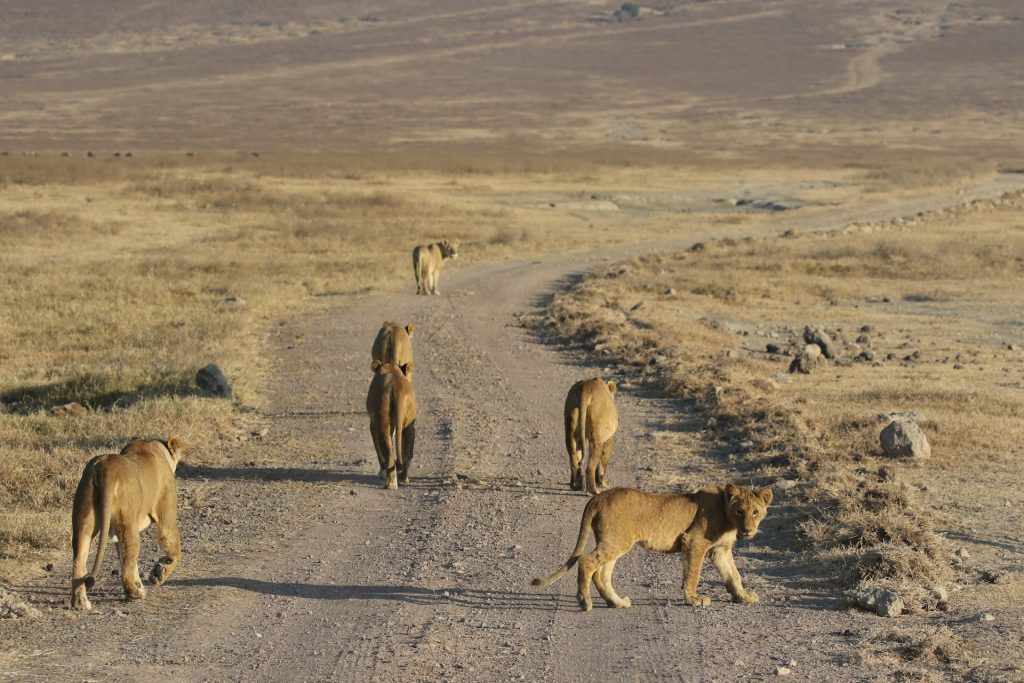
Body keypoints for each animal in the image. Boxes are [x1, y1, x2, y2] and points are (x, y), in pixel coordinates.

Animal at [71, 440, 187, 610]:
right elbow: (176, 552)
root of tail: (104, 467)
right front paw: (160, 573)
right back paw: (136, 594)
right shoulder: (166, 518)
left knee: (79, 561)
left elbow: (127, 560)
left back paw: (81, 604)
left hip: (84, 520)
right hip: (128, 524)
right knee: (126, 569)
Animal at [366, 360, 417, 489]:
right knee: (407, 453)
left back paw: (390, 484)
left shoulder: (373, 425)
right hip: (409, 424)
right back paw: (403, 479)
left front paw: (382, 473)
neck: (390, 368)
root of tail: (396, 387)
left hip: (382, 422)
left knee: (388, 453)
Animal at [532, 483, 770, 610]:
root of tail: (598, 497)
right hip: (616, 541)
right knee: (586, 562)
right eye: (740, 511)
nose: (748, 530)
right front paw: (693, 599)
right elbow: (692, 574)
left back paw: (617, 602)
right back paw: (585, 602)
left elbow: (733, 575)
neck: (726, 513)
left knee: (601, 573)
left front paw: (744, 596)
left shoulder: (720, 550)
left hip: (615, 542)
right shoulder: (694, 541)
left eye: (755, 512)